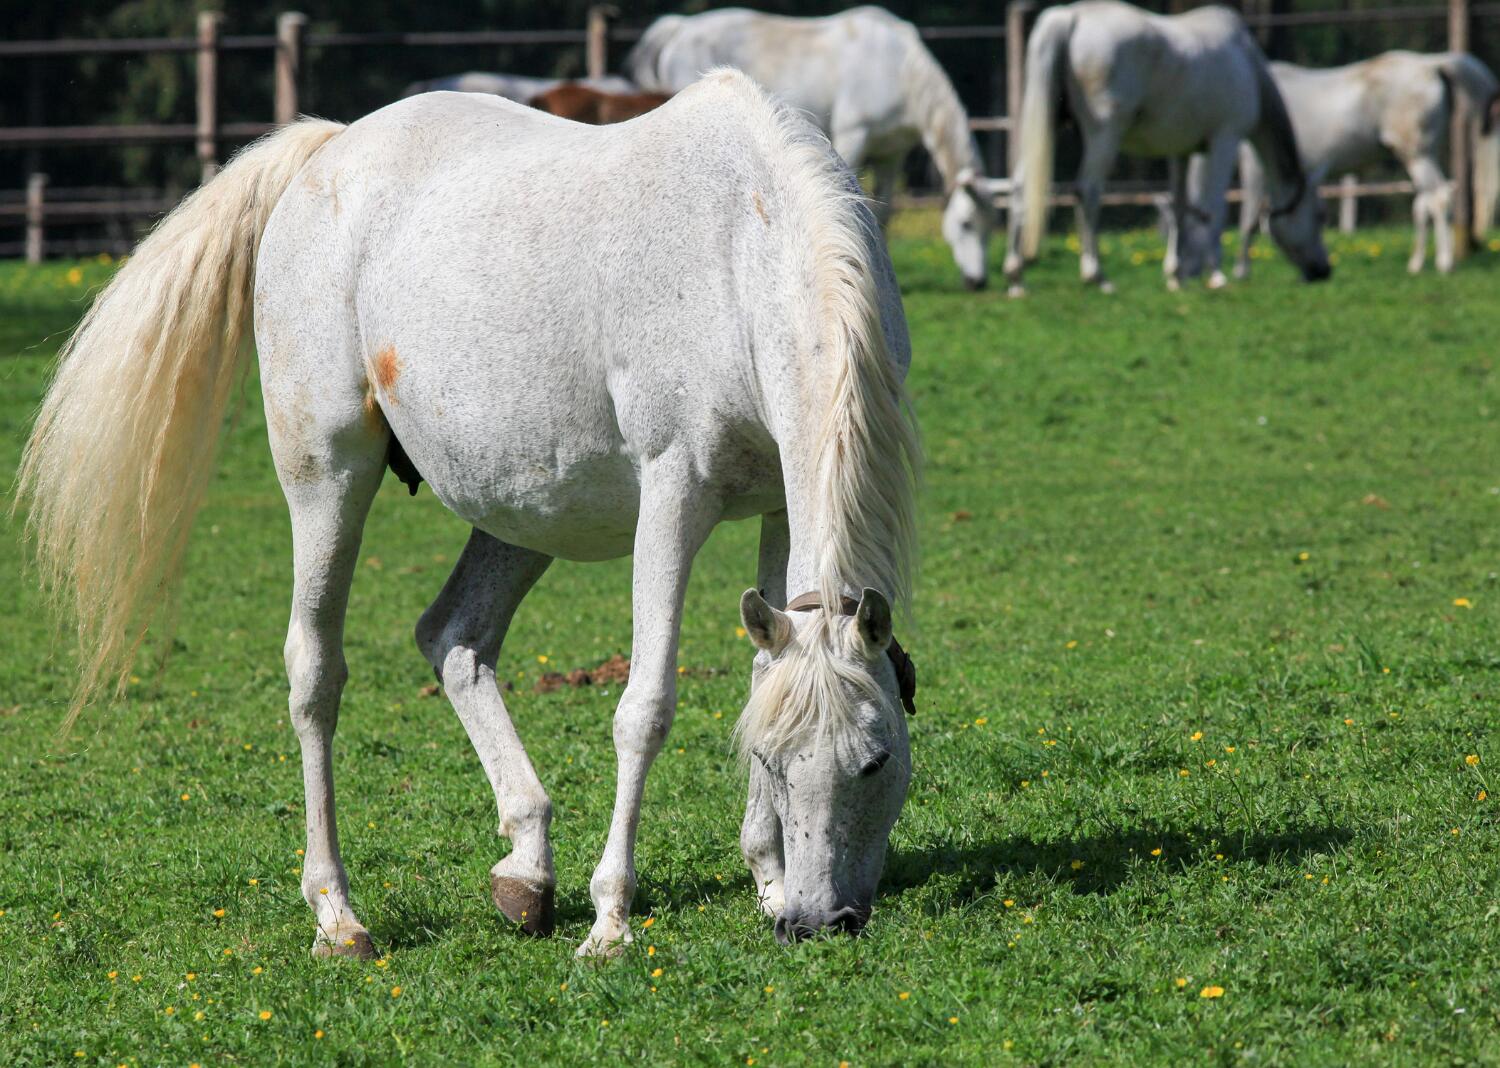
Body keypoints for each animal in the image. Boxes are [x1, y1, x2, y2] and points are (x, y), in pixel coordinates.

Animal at [628, 6, 1004, 290]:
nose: (978, 282)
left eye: (990, 226)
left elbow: (884, 212)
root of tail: (679, 27)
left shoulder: (891, 155)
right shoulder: (853, 136)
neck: (898, 69)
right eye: (966, 224)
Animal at [1005, 0, 1331, 295]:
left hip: (1048, 121)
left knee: (1021, 189)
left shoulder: (1181, 150)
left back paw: (1016, 276)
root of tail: (1069, 17)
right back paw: (1097, 276)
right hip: (1104, 131)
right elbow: (1214, 208)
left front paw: (1176, 275)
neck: (1249, 64)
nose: (1324, 270)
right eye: (1319, 216)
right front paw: (1216, 274)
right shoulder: (1226, 138)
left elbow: (1180, 207)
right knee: (1088, 191)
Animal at [1235, 51, 1500, 277]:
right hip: (1418, 154)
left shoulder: (1255, 164)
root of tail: (1431, 63)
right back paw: (1416, 263)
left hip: (1417, 154)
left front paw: (1240, 271)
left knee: (1438, 197)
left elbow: (1248, 218)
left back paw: (1444, 263)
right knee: (1422, 203)